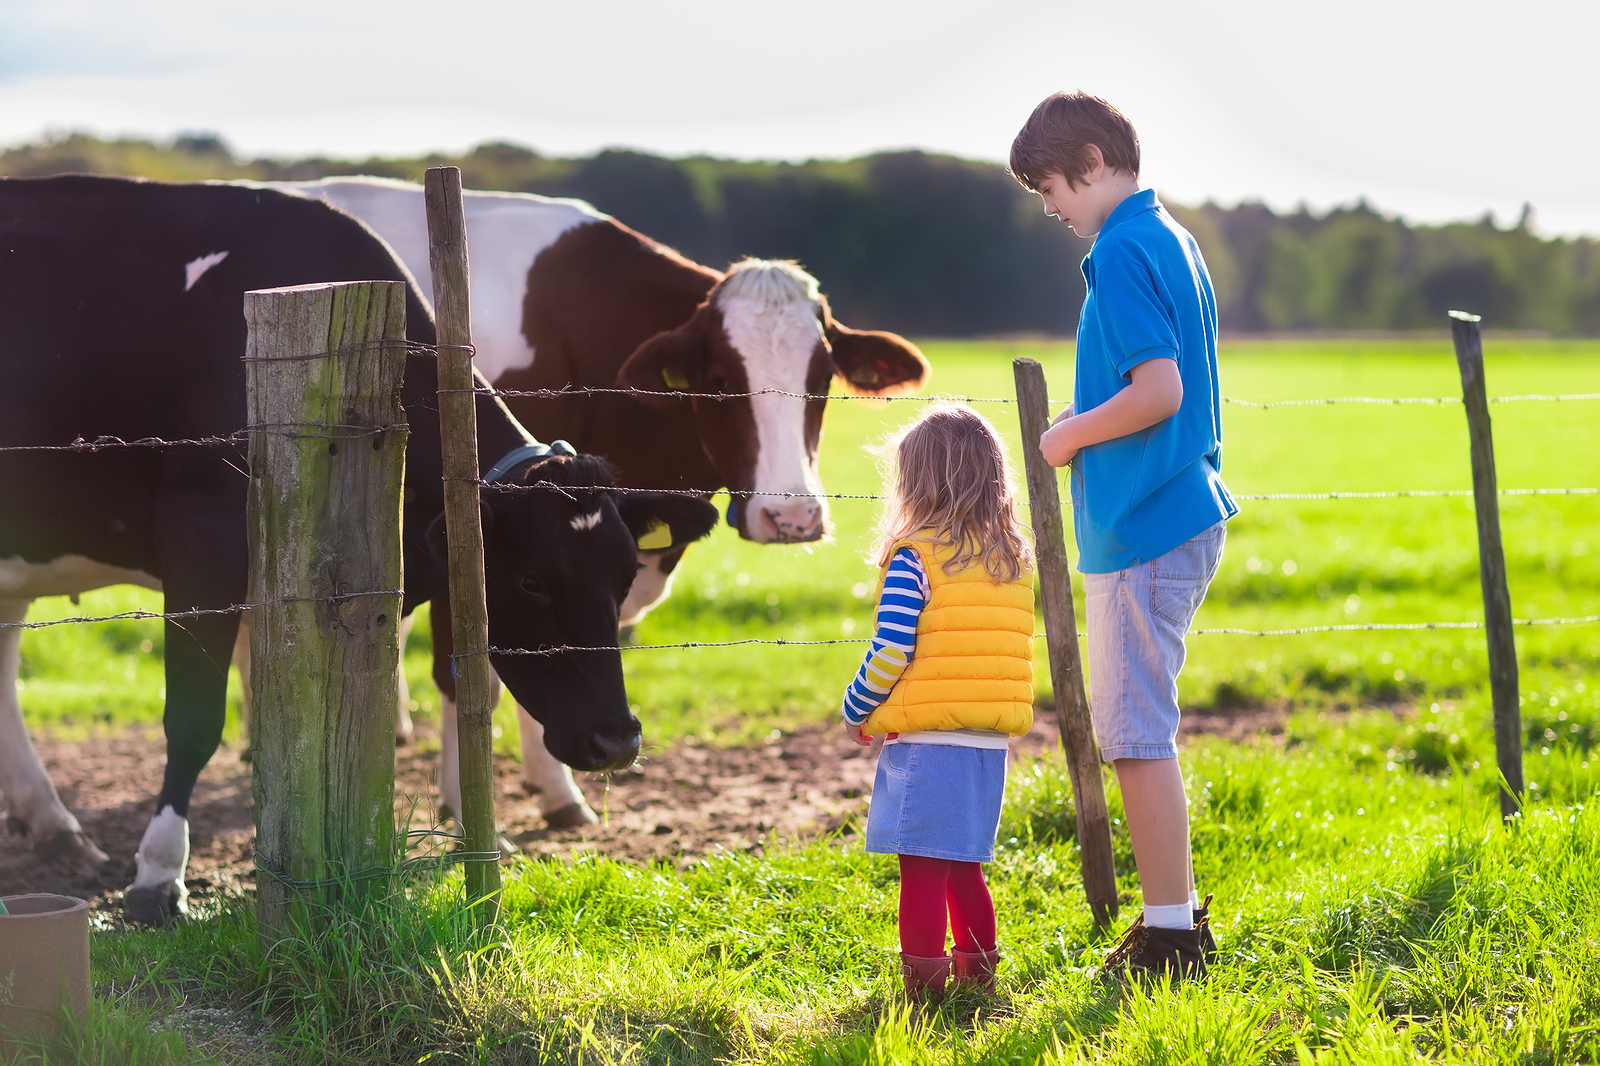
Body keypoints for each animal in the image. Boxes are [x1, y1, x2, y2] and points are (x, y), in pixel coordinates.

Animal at [0, 176, 713, 921]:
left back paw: (50, 822)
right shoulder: (203, 545)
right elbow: (194, 720)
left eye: (625, 574)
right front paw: (159, 875)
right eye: (531, 583)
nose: (616, 739)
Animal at [256, 176, 934, 819]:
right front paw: (471, 803)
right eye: (719, 382)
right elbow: (472, 673)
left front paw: (555, 790)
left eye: (821, 380)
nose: (791, 515)